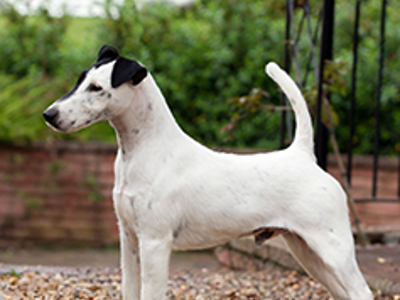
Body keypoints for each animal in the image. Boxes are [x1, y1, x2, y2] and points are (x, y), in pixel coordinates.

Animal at [43, 45, 372, 298]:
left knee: (362, 290)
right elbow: (130, 290)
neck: (143, 150)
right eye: (80, 80)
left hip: (333, 250)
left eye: (97, 88)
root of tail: (303, 155)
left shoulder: (154, 242)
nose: (49, 115)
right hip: (307, 252)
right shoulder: (129, 239)